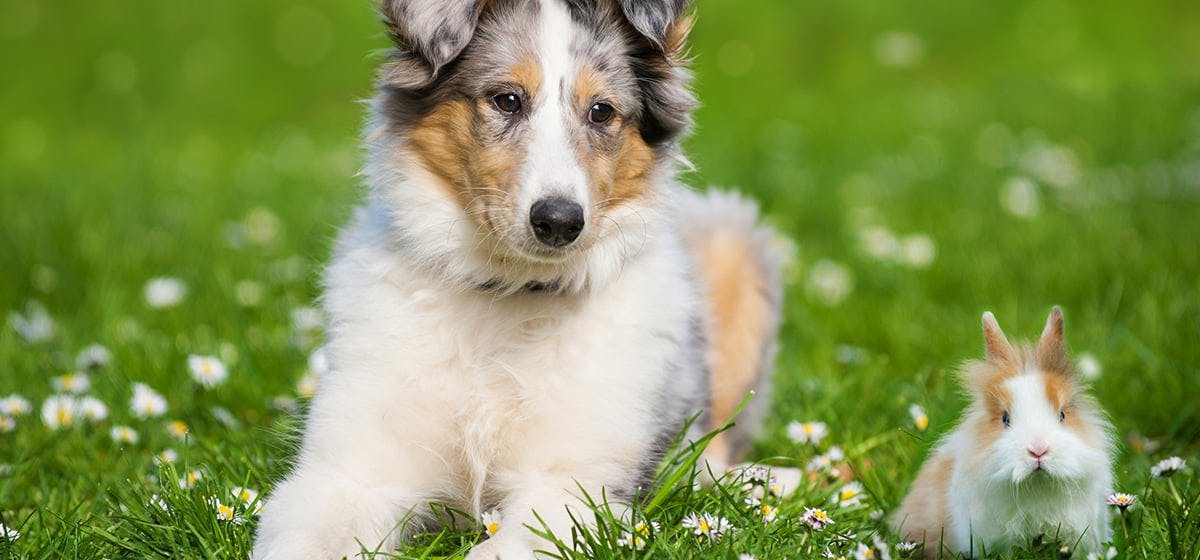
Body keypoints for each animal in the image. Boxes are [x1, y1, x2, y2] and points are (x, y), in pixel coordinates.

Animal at [253, 1, 787, 560]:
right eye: (507, 100)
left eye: (601, 112)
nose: (559, 222)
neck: (508, 291)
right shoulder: (348, 474)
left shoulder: (571, 485)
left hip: (734, 240)